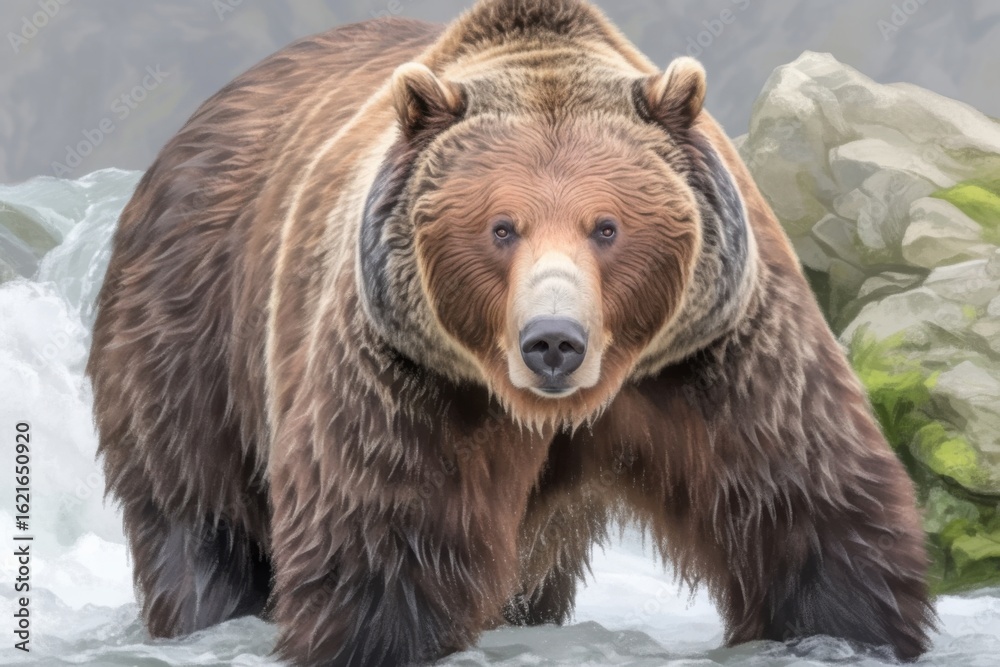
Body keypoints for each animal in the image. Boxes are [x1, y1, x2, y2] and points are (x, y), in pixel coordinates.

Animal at [87, 0, 934, 665]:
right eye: (501, 226)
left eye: (606, 226)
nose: (553, 340)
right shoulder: (408, 373)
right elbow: (387, 543)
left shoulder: (713, 353)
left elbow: (803, 504)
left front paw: (846, 628)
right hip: (192, 321)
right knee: (200, 514)